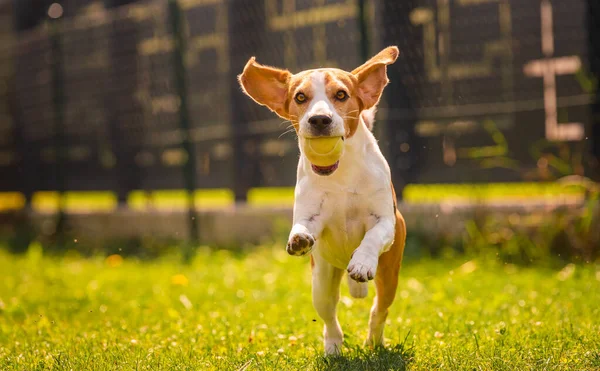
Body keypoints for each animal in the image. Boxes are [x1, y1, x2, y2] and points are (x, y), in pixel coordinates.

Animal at [237, 47, 406, 358]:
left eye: (341, 94)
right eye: (300, 97)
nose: (319, 120)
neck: (340, 174)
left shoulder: (387, 222)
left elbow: (373, 235)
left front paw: (362, 262)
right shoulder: (311, 214)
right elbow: (304, 226)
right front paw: (299, 238)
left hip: (389, 274)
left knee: (379, 310)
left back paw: (373, 341)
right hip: (322, 280)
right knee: (330, 316)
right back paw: (333, 348)